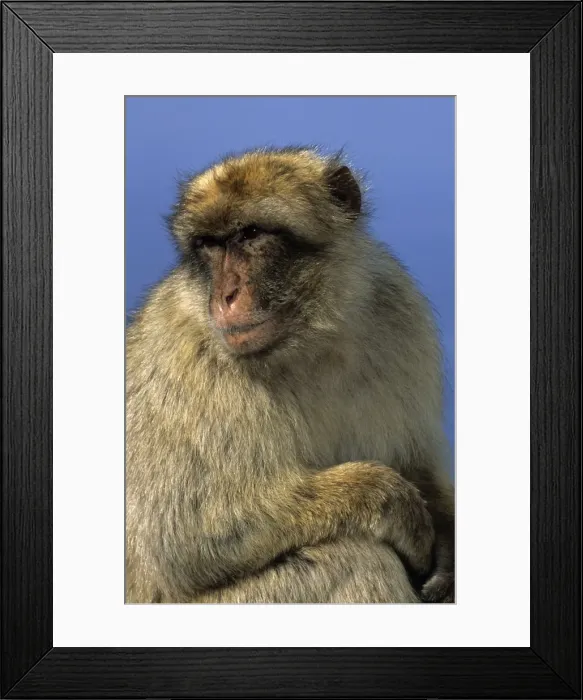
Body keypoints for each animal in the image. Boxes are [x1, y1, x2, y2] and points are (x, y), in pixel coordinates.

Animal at [125, 146, 455, 604]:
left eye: (250, 235)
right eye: (209, 244)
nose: (224, 297)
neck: (305, 341)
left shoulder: (398, 308)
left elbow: (419, 459)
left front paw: (447, 542)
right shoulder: (183, 355)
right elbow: (182, 539)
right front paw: (393, 503)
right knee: (355, 558)